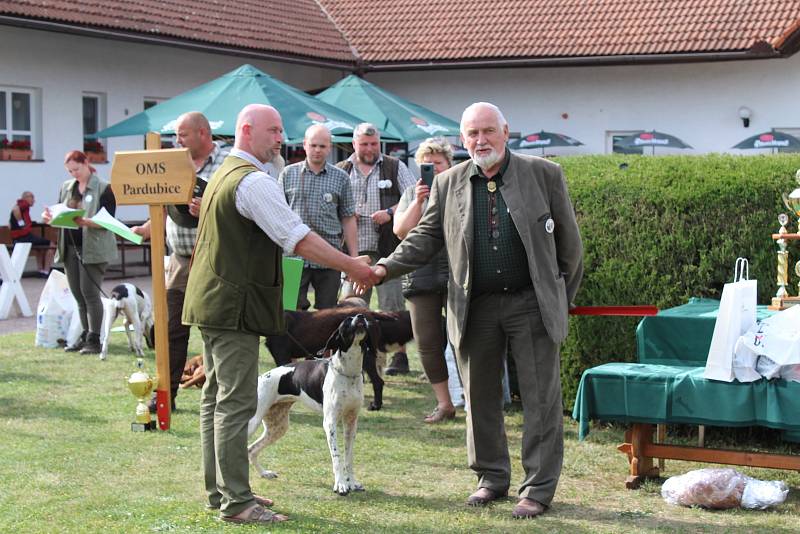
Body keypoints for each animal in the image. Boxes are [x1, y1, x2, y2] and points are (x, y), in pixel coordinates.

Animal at [248, 316, 374, 496]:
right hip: (253, 422)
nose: (361, 316)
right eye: (347, 321)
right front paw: (341, 485)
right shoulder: (330, 423)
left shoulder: (351, 423)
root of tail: (262, 377)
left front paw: (352, 482)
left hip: (278, 428)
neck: (348, 373)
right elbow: (337, 457)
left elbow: (348, 458)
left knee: (251, 449)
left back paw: (265, 473)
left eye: (361, 316)